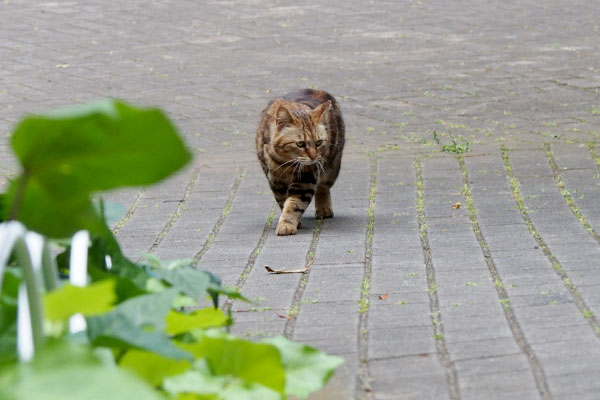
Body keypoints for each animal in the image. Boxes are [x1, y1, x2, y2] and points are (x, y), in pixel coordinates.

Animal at [254, 88, 346, 234]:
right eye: (300, 144)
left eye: (318, 142)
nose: (314, 156)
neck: (286, 163)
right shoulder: (275, 181)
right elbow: (283, 201)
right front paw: (292, 222)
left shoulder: (306, 180)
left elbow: (294, 204)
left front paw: (287, 224)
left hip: (332, 166)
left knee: (323, 186)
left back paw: (324, 209)